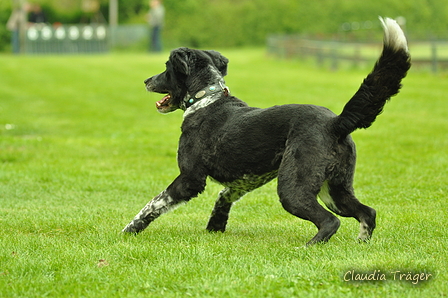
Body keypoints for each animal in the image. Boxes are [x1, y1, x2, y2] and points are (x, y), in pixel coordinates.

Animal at [122, 17, 410, 244]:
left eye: (166, 69)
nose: (146, 80)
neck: (206, 98)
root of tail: (334, 122)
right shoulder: (242, 182)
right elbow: (222, 199)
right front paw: (215, 229)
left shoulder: (190, 178)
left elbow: (154, 203)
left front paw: (130, 229)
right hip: (335, 189)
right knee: (367, 212)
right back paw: (361, 243)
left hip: (294, 189)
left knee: (330, 222)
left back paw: (308, 247)